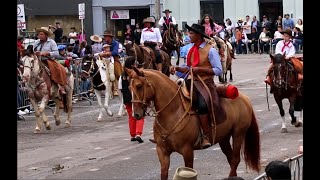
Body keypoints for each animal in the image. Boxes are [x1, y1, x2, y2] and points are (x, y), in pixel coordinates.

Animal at [126, 67, 262, 179]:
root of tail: (244, 98)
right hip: (224, 138)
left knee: (235, 159)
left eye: (139, 86)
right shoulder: (162, 151)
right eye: (129, 88)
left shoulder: (187, 151)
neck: (173, 112)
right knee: (231, 158)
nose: (136, 114)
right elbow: (164, 173)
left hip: (238, 134)